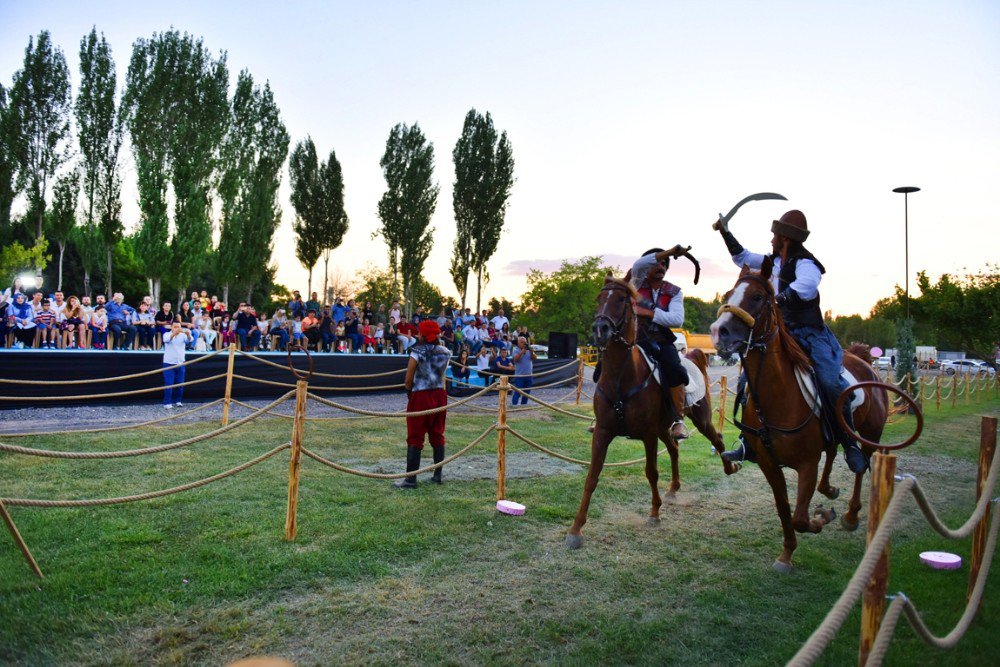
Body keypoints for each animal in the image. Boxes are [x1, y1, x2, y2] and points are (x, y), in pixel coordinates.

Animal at [568, 276, 740, 548]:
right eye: (599, 297)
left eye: (621, 299)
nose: (600, 329)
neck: (621, 376)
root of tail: (695, 357)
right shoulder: (603, 432)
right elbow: (592, 477)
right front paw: (576, 529)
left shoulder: (648, 434)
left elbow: (651, 472)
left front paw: (654, 514)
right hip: (663, 428)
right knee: (675, 449)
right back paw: (673, 489)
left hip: (698, 419)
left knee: (717, 438)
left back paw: (729, 467)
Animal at [708, 258, 888, 572]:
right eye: (729, 294)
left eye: (757, 297)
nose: (719, 331)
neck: (780, 398)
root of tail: (866, 362)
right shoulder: (769, 465)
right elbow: (785, 510)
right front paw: (786, 554)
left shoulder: (806, 464)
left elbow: (801, 518)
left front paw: (823, 517)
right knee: (834, 452)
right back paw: (828, 489)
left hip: (870, 435)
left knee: (860, 464)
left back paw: (851, 515)